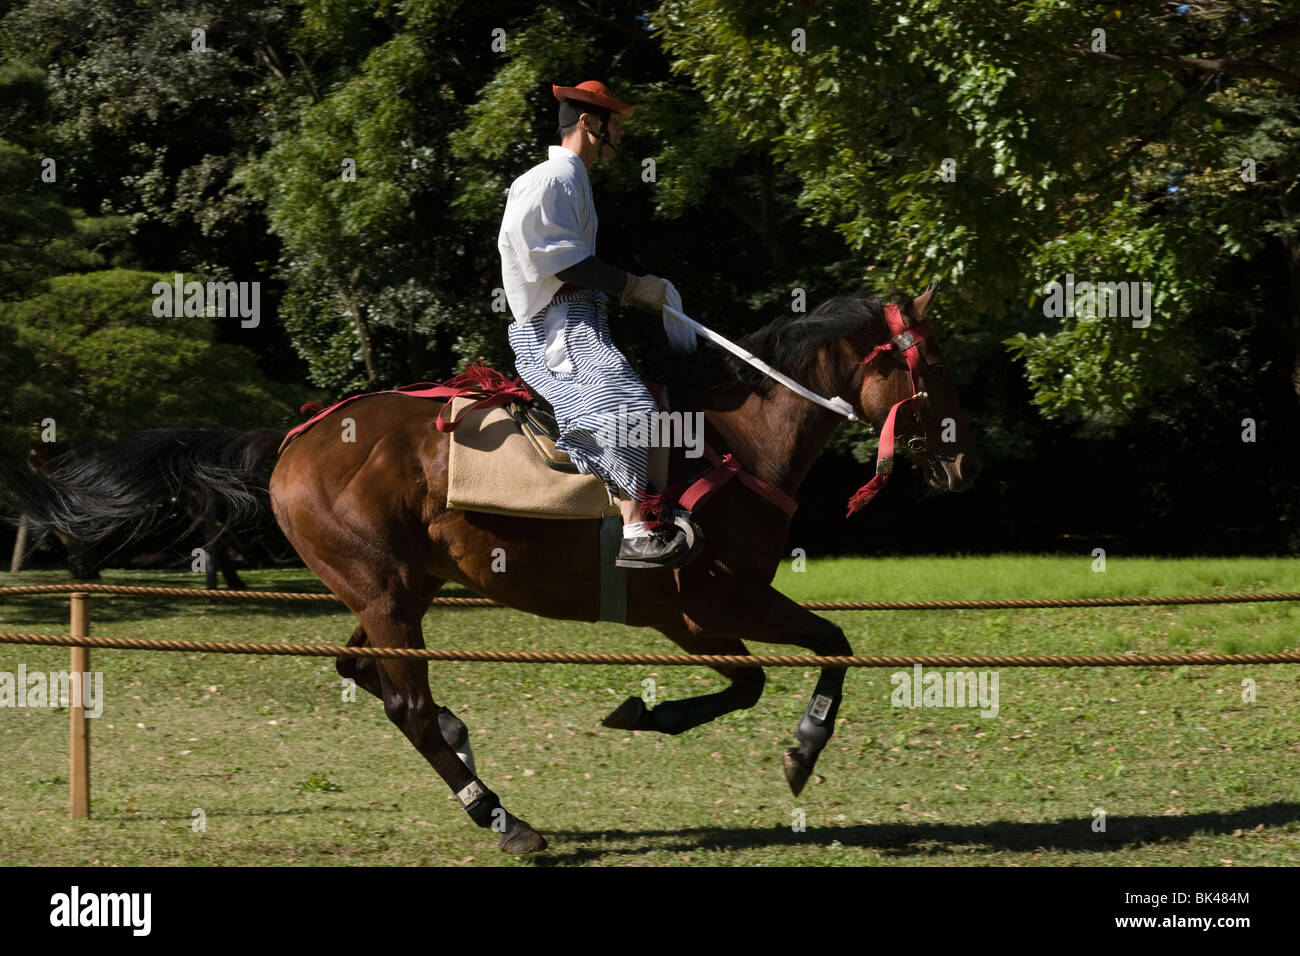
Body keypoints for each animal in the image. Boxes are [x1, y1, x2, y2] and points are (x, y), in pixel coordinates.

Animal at [2, 288, 978, 853]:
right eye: (941, 369)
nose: (963, 463)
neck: (739, 439)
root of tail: (294, 435)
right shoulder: (718, 597)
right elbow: (826, 647)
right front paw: (800, 753)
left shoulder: (693, 616)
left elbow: (753, 679)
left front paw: (645, 714)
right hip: (387, 591)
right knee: (404, 702)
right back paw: (502, 818)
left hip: (397, 586)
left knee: (364, 669)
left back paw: (466, 743)